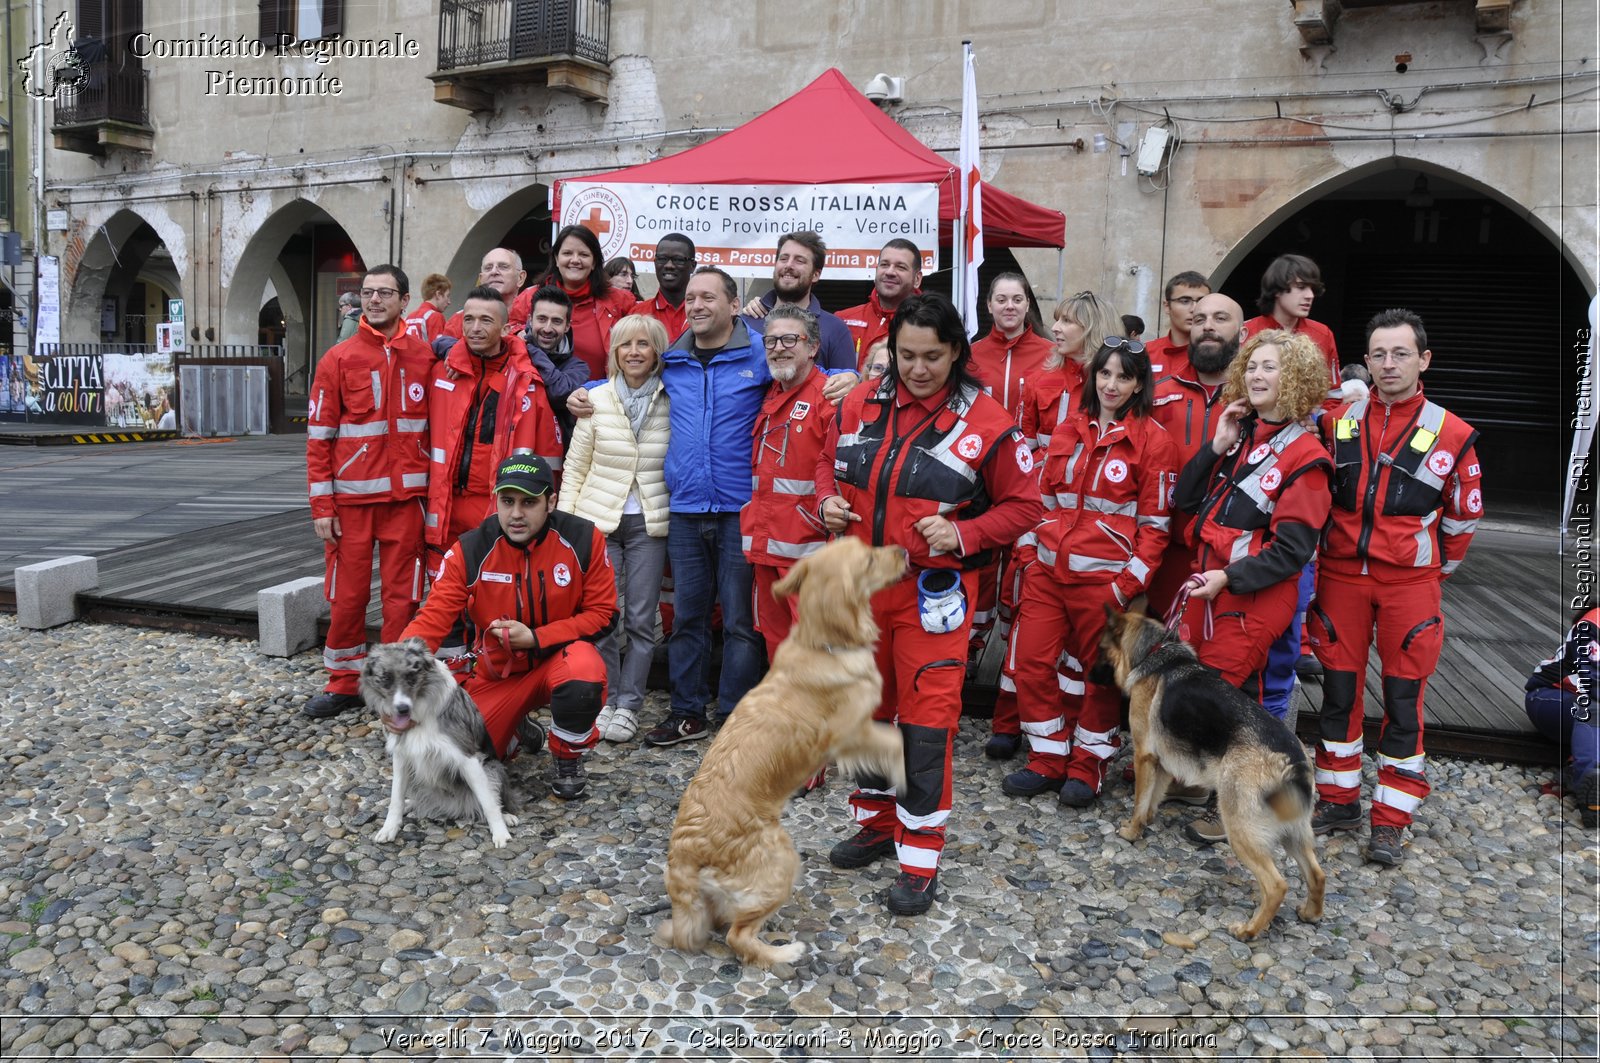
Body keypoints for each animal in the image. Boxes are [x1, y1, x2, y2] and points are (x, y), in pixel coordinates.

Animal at [360, 633, 515, 851]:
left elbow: (488, 802)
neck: (419, 716)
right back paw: (410, 803)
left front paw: (500, 833)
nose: (402, 709)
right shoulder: (401, 756)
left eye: (411, 677)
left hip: (493, 768)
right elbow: (396, 797)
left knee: (495, 797)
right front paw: (389, 828)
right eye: (386, 680)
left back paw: (508, 815)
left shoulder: (467, 758)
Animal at [659, 544, 915, 966]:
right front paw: (905, 779)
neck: (821, 642)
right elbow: (896, 742)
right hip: (784, 859)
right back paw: (785, 953)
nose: (905, 550)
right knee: (738, 937)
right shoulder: (853, 733)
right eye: (868, 559)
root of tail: (686, 850)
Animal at [1100, 605, 1324, 941]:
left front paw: (1131, 830)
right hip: (1295, 833)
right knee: (1317, 874)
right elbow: (1154, 797)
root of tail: (1293, 760)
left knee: (1276, 885)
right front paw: (1148, 820)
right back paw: (1311, 913)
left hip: (1240, 829)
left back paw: (1249, 929)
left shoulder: (1145, 756)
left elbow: (1140, 799)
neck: (1156, 653)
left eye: (1100, 648)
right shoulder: (1163, 763)